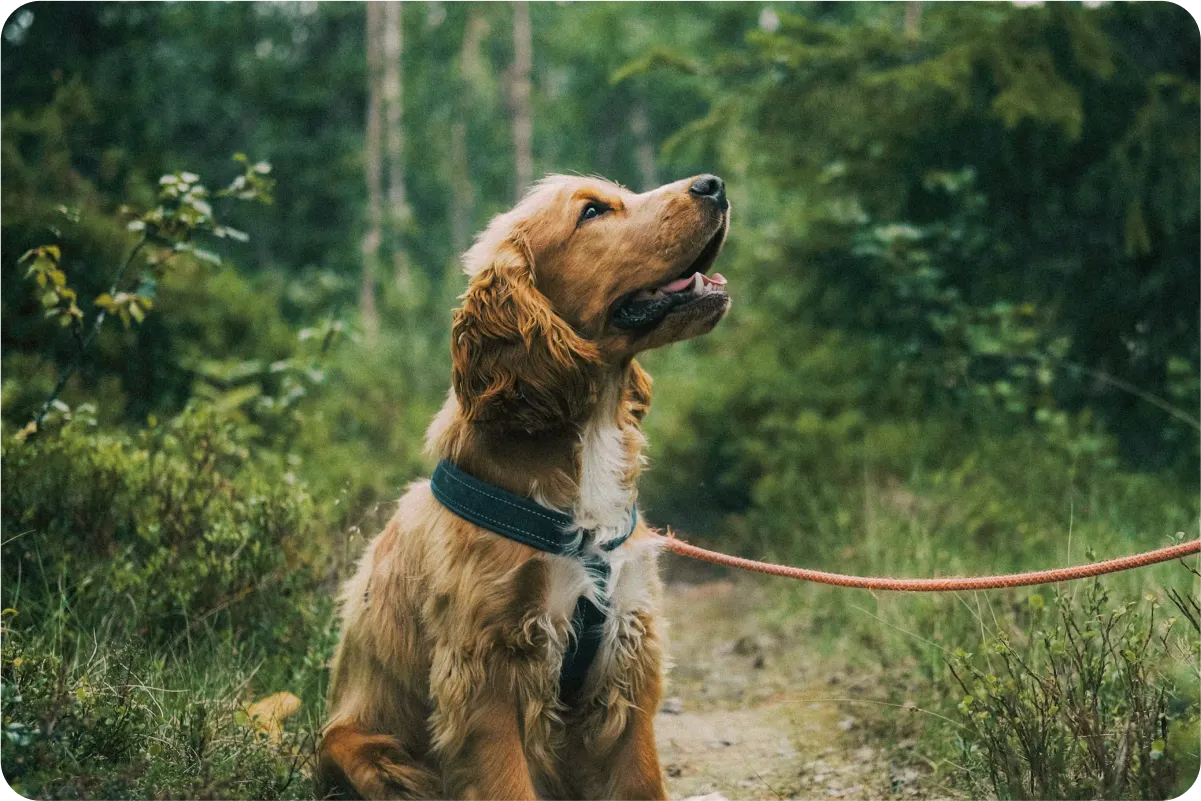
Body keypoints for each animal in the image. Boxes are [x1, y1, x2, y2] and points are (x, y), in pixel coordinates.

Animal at [319, 174, 730, 801]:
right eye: (592, 212)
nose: (714, 184)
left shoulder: (628, 654)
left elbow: (640, 781)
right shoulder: (486, 673)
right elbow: (506, 781)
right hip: (369, 754)